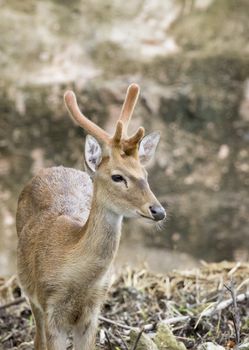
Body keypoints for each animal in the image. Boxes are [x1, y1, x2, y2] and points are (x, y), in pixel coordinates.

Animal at [16, 84, 166, 350]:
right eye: (117, 176)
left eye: (145, 174)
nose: (158, 211)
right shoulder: (49, 306)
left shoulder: (93, 310)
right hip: (30, 292)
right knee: (37, 338)